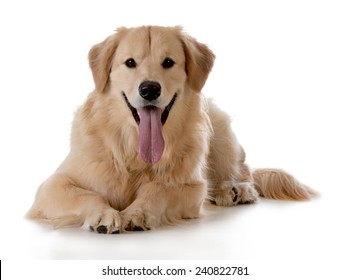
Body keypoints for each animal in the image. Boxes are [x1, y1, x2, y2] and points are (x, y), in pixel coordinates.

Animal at [27, 25, 316, 234]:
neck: (134, 153)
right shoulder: (51, 186)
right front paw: (103, 213)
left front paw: (137, 212)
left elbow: (158, 190)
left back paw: (235, 190)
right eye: (129, 62)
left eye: (168, 62)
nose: (149, 89)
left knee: (243, 173)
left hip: (221, 130)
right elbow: (84, 194)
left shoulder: (191, 186)